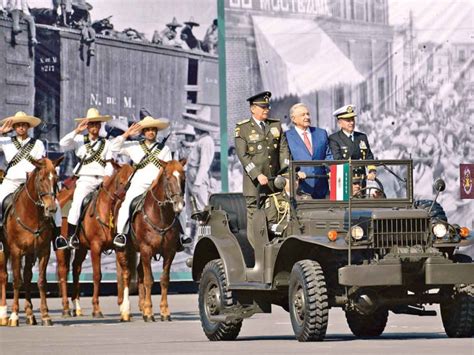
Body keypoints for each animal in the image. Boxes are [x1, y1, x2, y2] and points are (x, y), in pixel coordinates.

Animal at [0, 159, 62, 328]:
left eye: (56, 179)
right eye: (41, 180)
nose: (51, 208)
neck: (33, 215)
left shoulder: (43, 251)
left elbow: (40, 281)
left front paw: (45, 315)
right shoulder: (16, 251)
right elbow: (16, 281)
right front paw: (14, 315)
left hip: (29, 254)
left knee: (27, 276)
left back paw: (29, 314)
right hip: (4, 251)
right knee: (4, 276)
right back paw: (3, 314)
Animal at [70, 163, 134, 322]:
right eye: (120, 181)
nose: (124, 198)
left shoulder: (119, 247)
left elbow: (124, 273)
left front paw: (124, 309)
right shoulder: (95, 247)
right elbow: (97, 275)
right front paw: (96, 309)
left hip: (82, 248)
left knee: (76, 267)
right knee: (75, 269)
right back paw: (75, 306)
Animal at [133, 160, 187, 324]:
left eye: (183, 178)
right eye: (168, 178)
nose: (179, 204)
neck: (160, 215)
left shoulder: (169, 252)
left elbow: (164, 279)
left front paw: (164, 311)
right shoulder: (146, 249)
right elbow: (148, 280)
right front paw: (149, 312)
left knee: (139, 272)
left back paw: (141, 305)